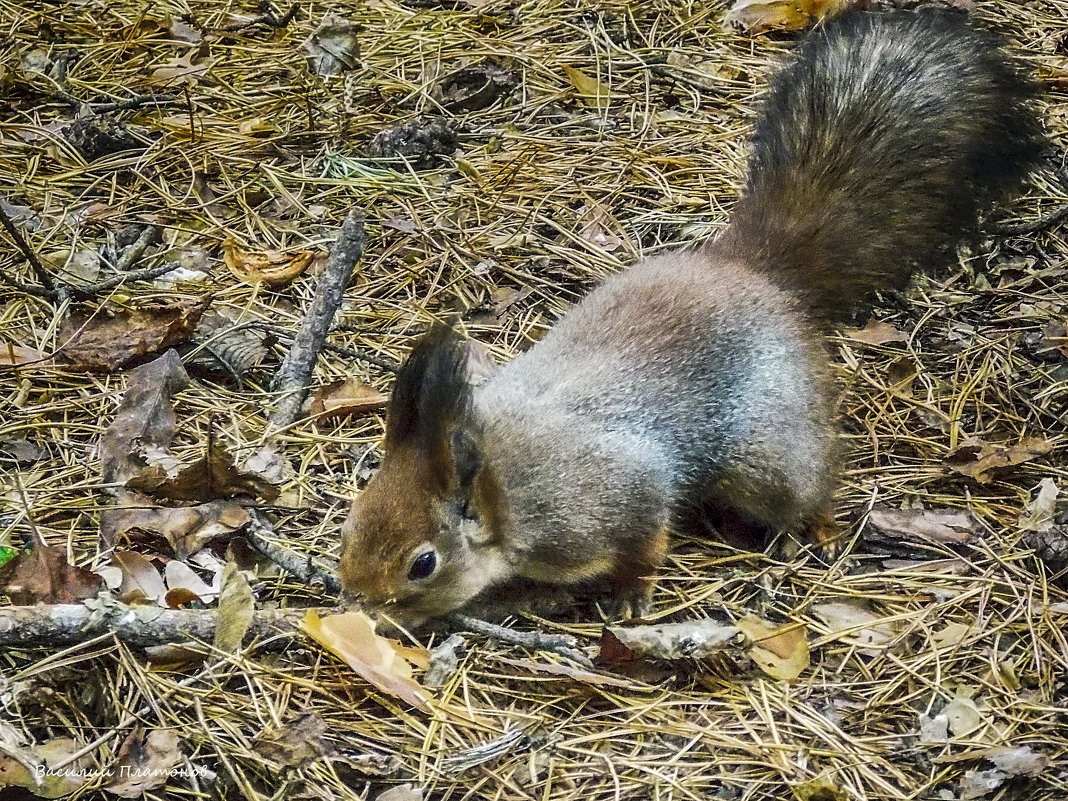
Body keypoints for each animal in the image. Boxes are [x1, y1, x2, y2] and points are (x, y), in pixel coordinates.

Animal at [339, 9, 1042, 632]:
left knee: (805, 481)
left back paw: (812, 528)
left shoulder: (614, 497)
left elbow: (648, 539)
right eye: (352, 520)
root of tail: (748, 271)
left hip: (767, 451)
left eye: (423, 564)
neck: (499, 485)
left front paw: (630, 593)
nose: (359, 610)